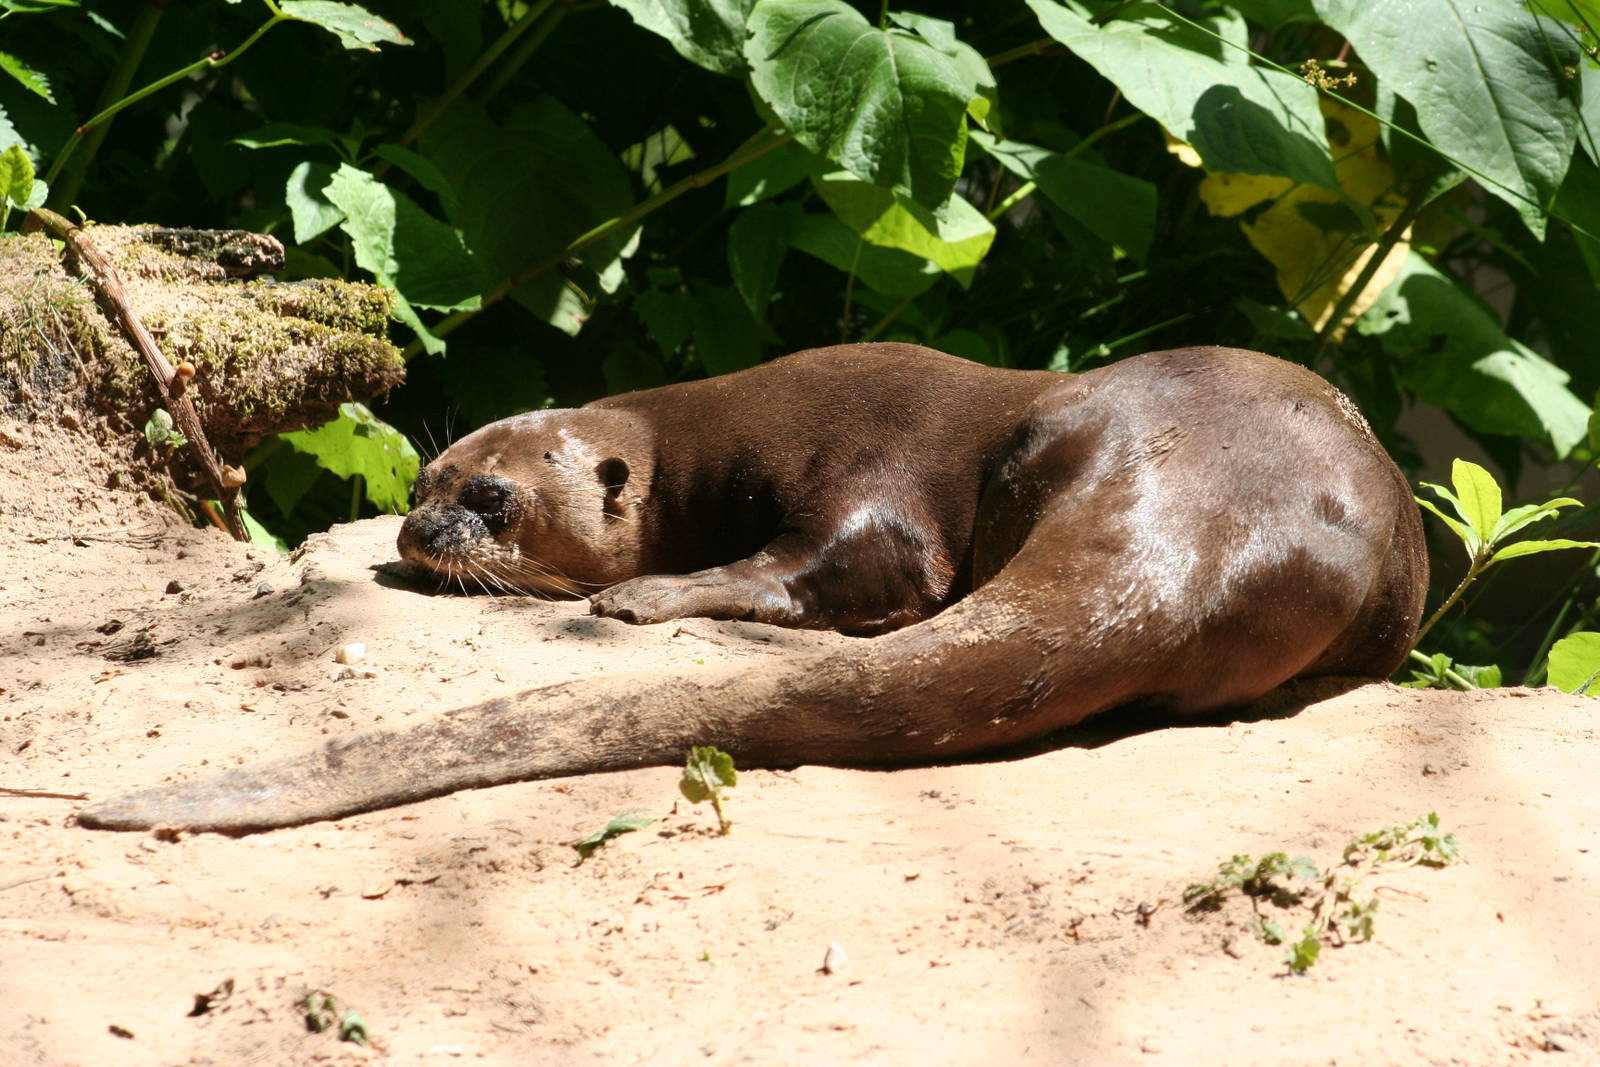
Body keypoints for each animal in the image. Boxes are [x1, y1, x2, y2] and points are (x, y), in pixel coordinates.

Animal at [79, 343, 1427, 833]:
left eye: (492, 499)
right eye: (424, 475)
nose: (418, 527)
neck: (696, 441)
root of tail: (1194, 529)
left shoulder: (862, 457)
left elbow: (851, 561)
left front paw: (638, 594)